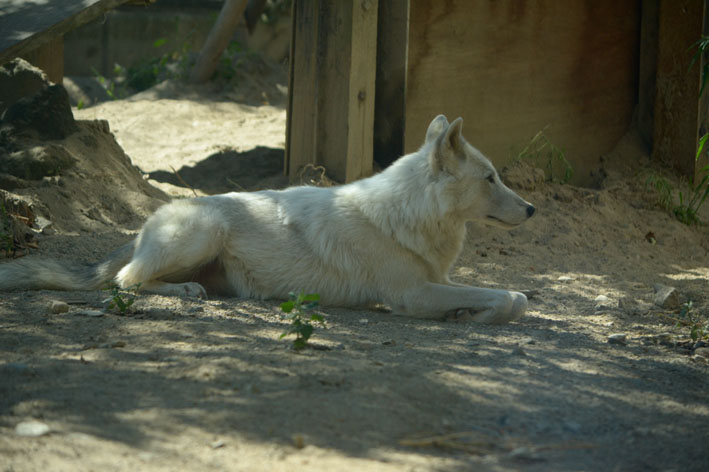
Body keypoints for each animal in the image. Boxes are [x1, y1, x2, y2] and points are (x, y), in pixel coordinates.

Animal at [0, 115, 532, 322]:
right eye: (490, 178)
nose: (532, 209)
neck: (406, 216)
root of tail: (144, 227)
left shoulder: (435, 282)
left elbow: (511, 295)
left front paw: (472, 312)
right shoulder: (413, 295)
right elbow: (514, 296)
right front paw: (481, 313)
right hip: (203, 232)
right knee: (125, 281)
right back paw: (182, 291)